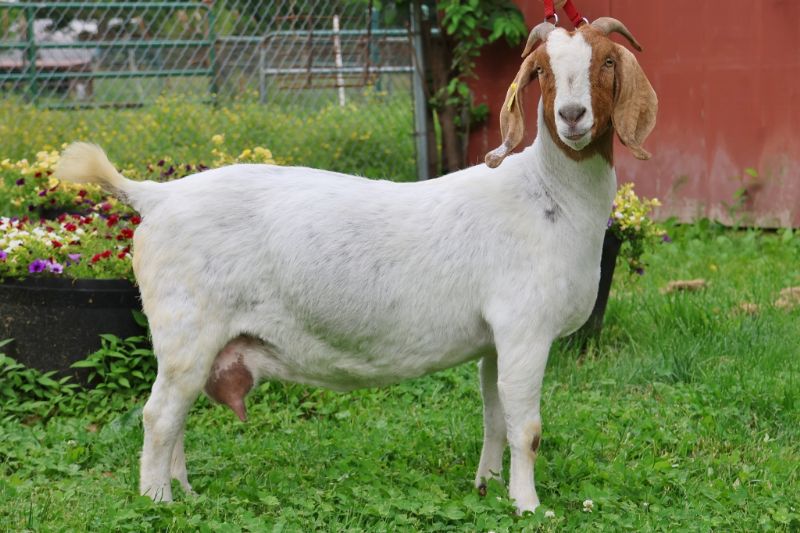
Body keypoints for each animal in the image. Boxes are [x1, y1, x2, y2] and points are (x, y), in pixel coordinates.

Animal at [54, 17, 656, 514]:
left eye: (607, 61)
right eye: (542, 70)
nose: (572, 116)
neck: (548, 196)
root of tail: (155, 196)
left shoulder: (495, 339)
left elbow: (494, 416)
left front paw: (486, 486)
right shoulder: (525, 328)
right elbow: (526, 427)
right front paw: (529, 507)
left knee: (175, 415)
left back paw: (186, 492)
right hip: (187, 325)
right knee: (159, 416)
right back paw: (157, 501)